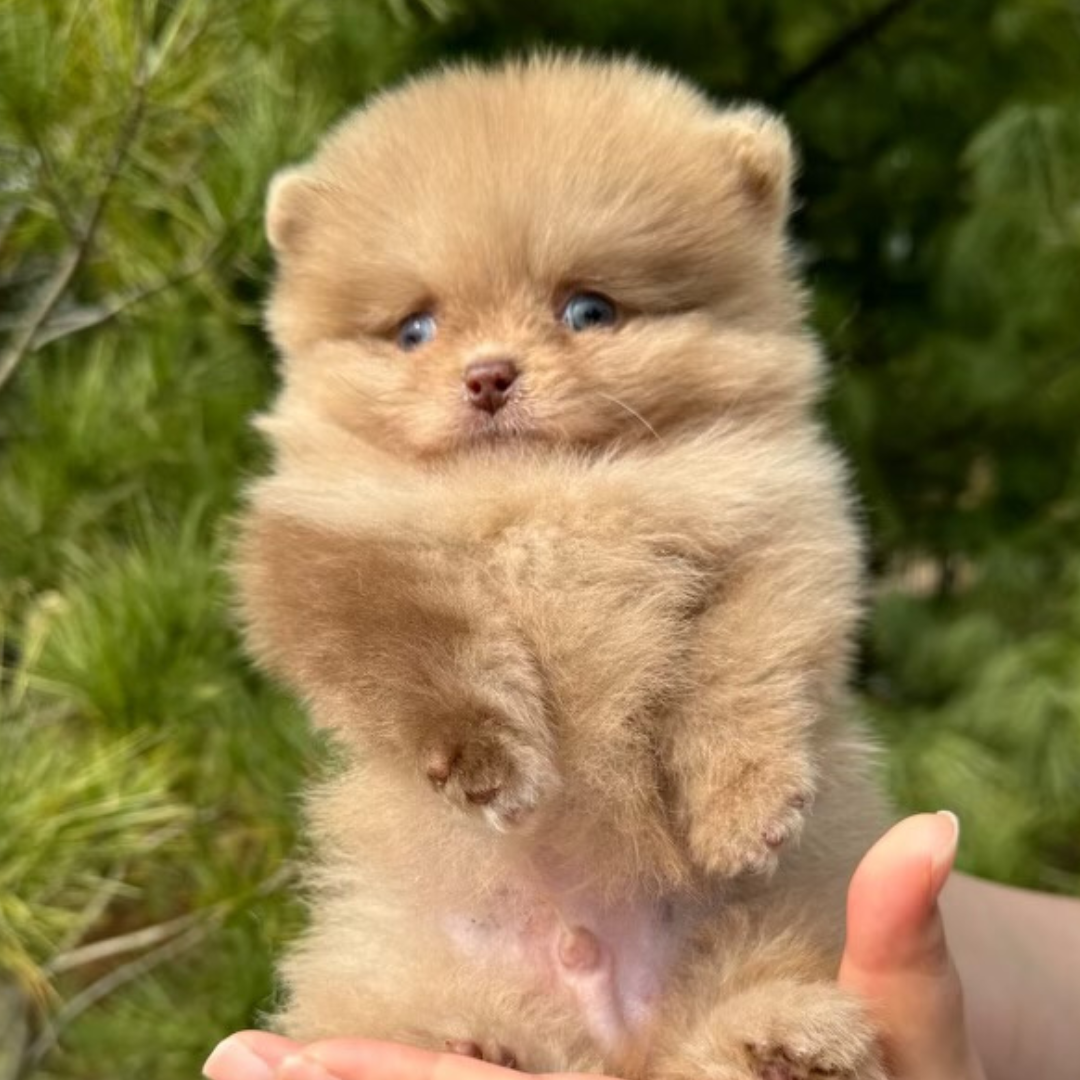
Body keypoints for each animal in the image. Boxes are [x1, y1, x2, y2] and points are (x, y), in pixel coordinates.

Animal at [240, 54, 889, 1080]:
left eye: (588, 309)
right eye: (416, 329)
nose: (489, 374)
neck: (547, 493)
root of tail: (610, 1034)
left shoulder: (776, 523)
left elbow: (740, 667)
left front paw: (742, 805)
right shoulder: (340, 544)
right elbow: (422, 646)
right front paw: (491, 763)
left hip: (767, 929)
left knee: (725, 1012)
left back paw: (784, 1034)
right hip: (389, 964)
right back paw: (483, 1039)